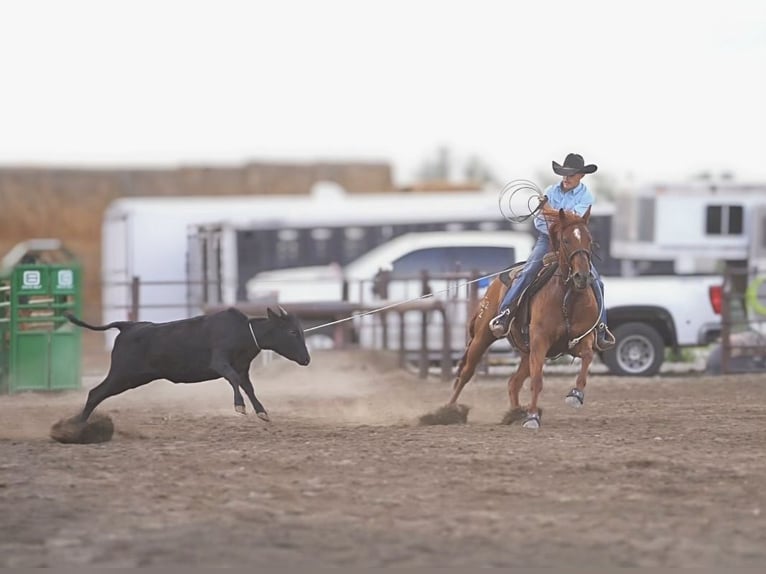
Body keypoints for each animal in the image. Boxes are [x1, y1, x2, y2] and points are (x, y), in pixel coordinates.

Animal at [444, 205, 599, 429]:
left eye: (589, 239)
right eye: (566, 240)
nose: (582, 276)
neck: (566, 297)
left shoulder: (582, 338)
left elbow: (587, 356)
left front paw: (575, 395)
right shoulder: (540, 341)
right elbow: (537, 380)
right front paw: (533, 417)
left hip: (526, 352)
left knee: (513, 382)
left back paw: (516, 413)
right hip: (483, 337)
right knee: (466, 372)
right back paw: (446, 412)